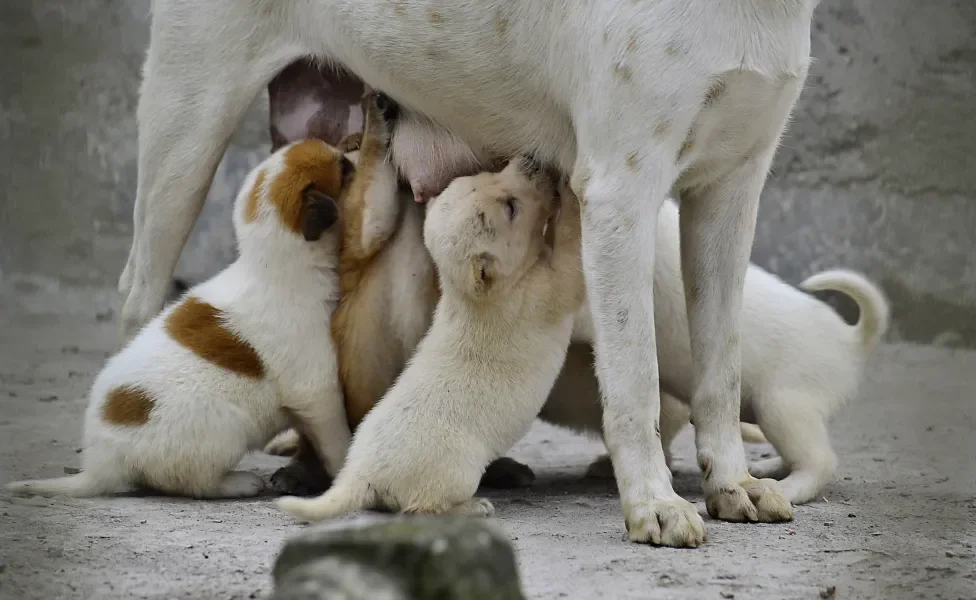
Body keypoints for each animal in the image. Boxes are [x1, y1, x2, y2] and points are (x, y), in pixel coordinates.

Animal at [3, 139, 356, 496]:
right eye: (343, 168)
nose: (354, 150)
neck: (274, 265)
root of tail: (102, 465)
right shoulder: (316, 391)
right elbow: (337, 440)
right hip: (225, 428)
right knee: (192, 481)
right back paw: (238, 483)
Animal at [278, 157, 592, 524]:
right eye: (511, 207)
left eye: (487, 174)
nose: (530, 163)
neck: (475, 295)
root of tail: (362, 473)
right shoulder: (532, 297)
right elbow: (569, 271)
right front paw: (571, 192)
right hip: (451, 461)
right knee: (427, 501)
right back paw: (473, 505)